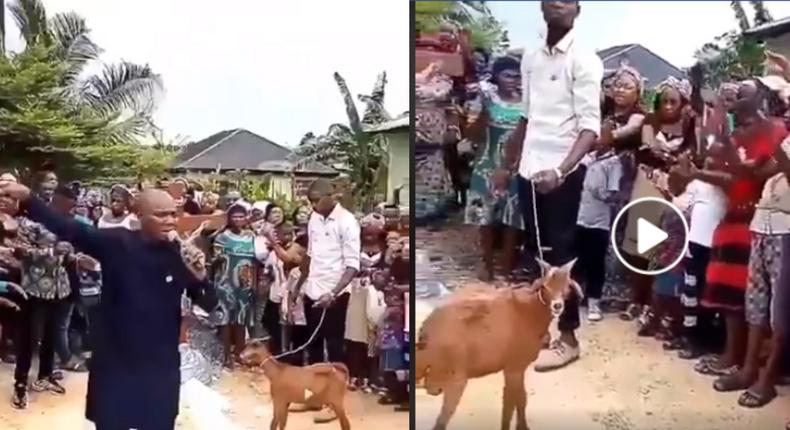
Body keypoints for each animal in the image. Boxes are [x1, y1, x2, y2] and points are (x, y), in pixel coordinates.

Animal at [418, 258, 584, 430]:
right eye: (545, 285)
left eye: (566, 285)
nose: (557, 306)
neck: (530, 313)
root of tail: (426, 328)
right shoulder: (513, 367)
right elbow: (513, 401)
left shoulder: (515, 367)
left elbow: (517, 399)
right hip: (456, 376)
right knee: (441, 420)